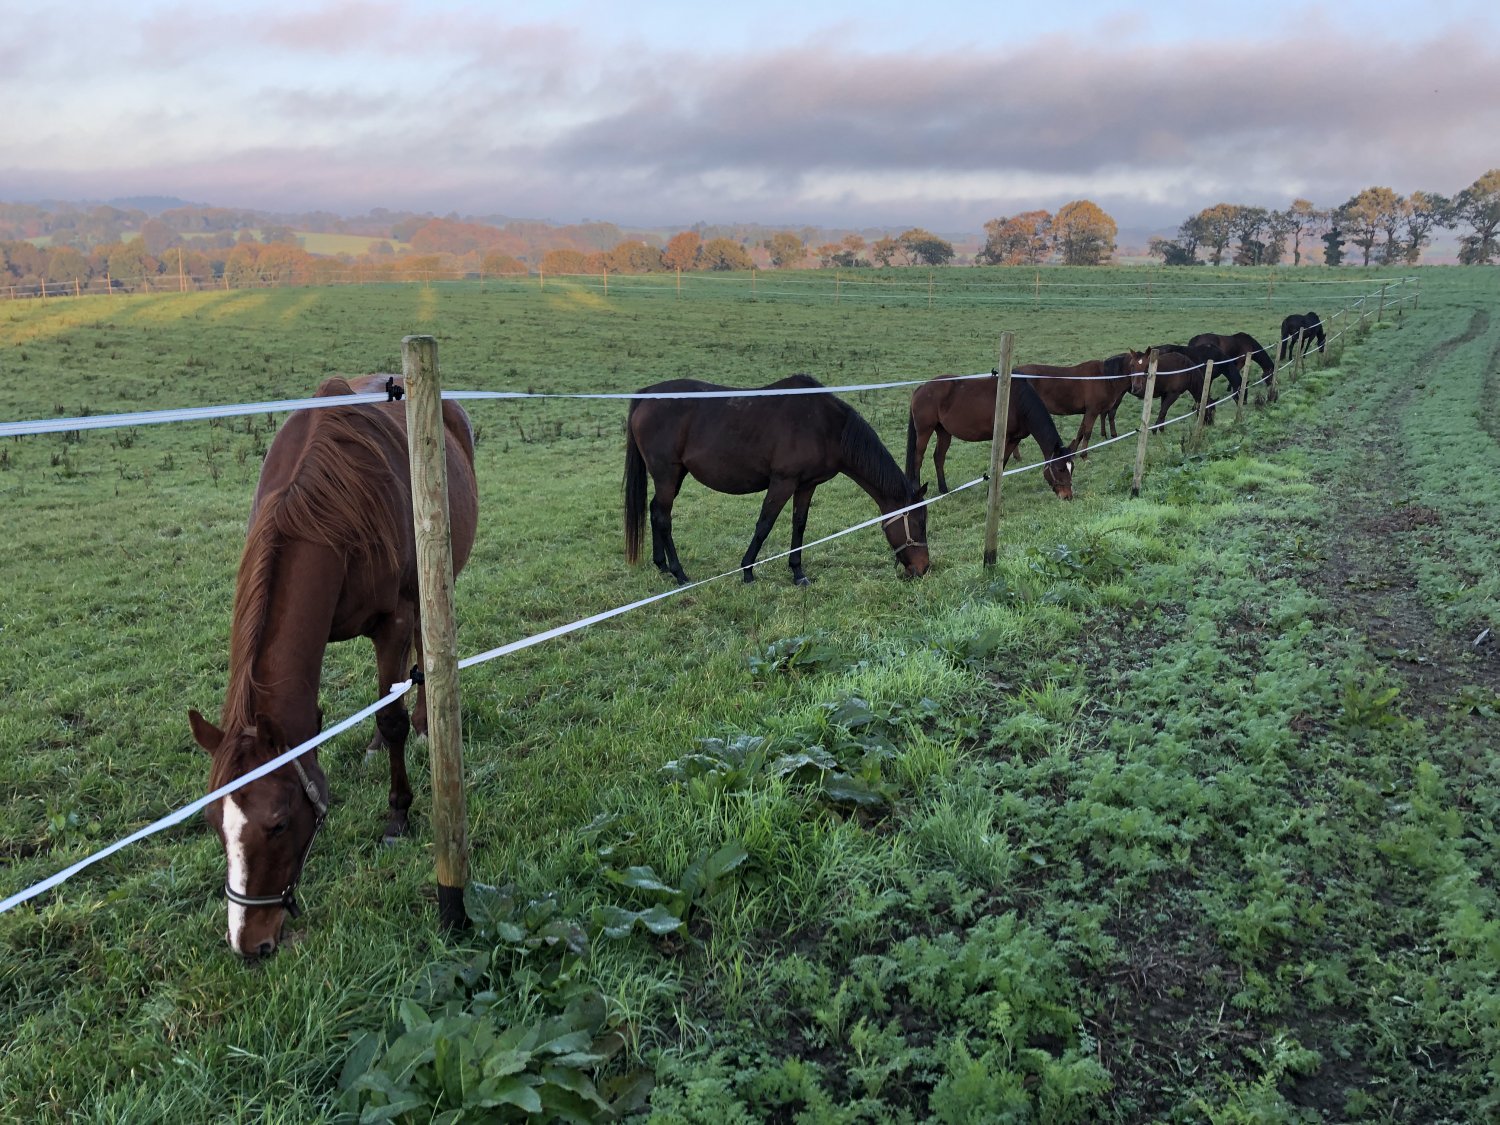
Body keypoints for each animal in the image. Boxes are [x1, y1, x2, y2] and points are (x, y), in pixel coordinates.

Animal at [188, 374, 479, 957]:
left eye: (278, 824)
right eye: (212, 823)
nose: (248, 943)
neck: (325, 506)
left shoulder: (394, 618)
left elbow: (391, 712)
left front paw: (398, 814)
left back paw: (421, 724)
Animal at [624, 374, 929, 586]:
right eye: (918, 523)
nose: (923, 568)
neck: (825, 426)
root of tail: (647, 395)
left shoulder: (806, 485)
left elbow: (799, 525)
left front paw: (798, 572)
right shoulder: (783, 482)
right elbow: (764, 524)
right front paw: (747, 571)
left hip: (674, 476)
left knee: (654, 510)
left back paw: (662, 566)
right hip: (667, 474)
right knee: (663, 517)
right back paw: (679, 574)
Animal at [905, 375, 1075, 500]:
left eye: (1071, 468)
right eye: (1060, 469)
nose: (1067, 496)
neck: (1018, 401)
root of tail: (921, 388)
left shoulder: (1014, 440)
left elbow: (1003, 463)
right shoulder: (1005, 439)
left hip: (944, 432)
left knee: (939, 457)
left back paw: (944, 490)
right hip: (924, 431)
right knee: (918, 458)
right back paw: (917, 491)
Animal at [1014, 350, 1149, 455]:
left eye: (1147, 366)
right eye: (1132, 365)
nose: (1136, 387)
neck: (1104, 378)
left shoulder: (1087, 411)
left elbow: (1080, 432)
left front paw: (1073, 451)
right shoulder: (1092, 411)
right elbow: (1087, 432)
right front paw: (1084, 455)